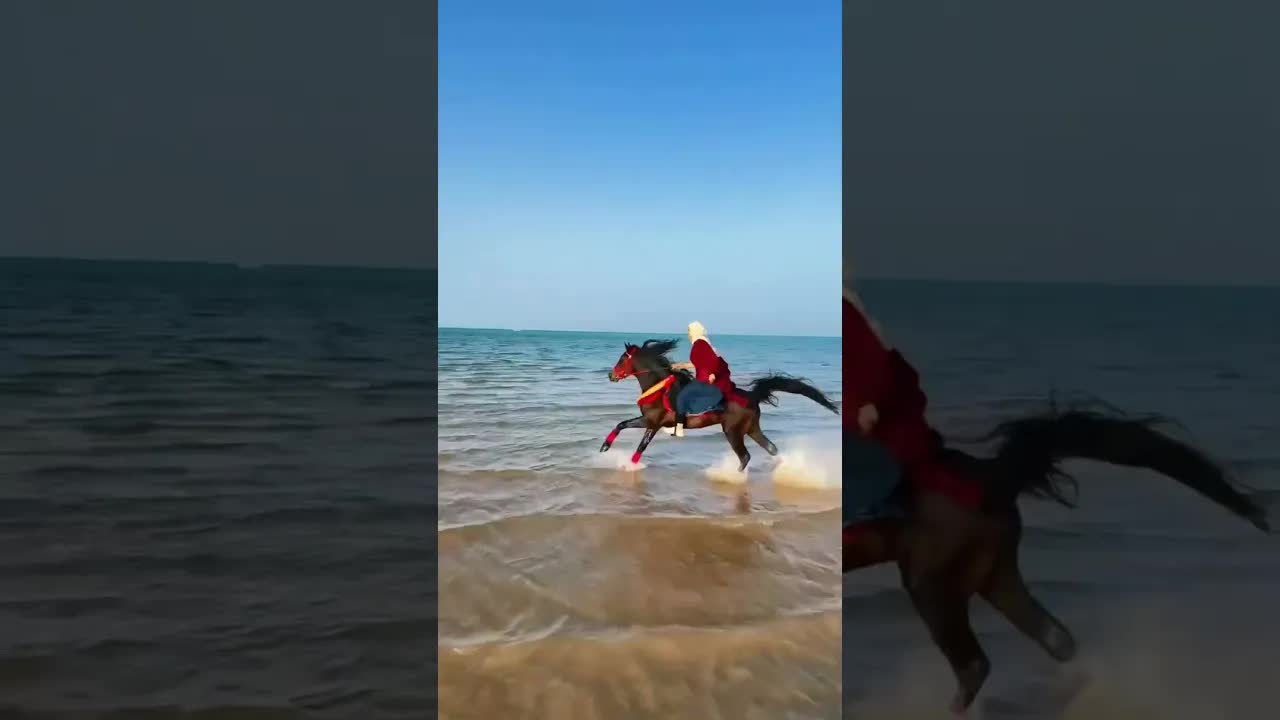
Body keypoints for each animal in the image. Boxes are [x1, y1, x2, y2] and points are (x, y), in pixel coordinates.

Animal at [600, 339, 838, 470]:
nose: (611, 375)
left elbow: (641, 445)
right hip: (751, 428)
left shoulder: (655, 422)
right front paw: (604, 448)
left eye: (622, 359)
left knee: (745, 456)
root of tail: (752, 396)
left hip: (732, 430)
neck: (660, 387)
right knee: (771, 448)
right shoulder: (648, 420)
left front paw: (629, 465)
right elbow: (621, 424)